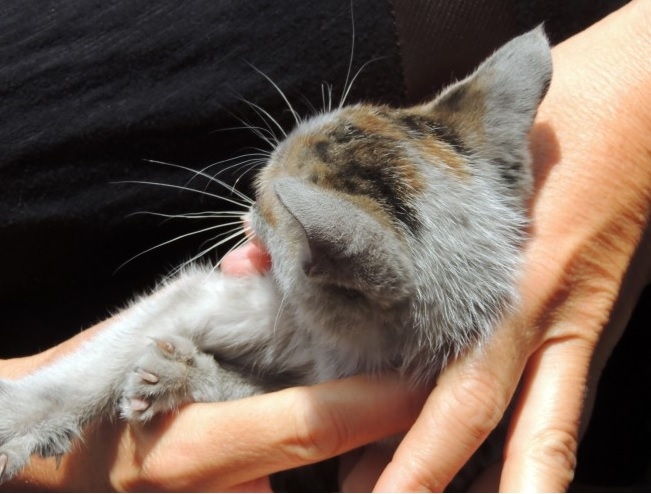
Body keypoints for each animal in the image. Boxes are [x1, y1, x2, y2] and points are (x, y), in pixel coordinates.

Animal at [0, 29, 552, 488]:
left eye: (267, 200)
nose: (249, 193)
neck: (318, 343)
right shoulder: (213, 297)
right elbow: (97, 361)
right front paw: (17, 419)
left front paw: (184, 377)